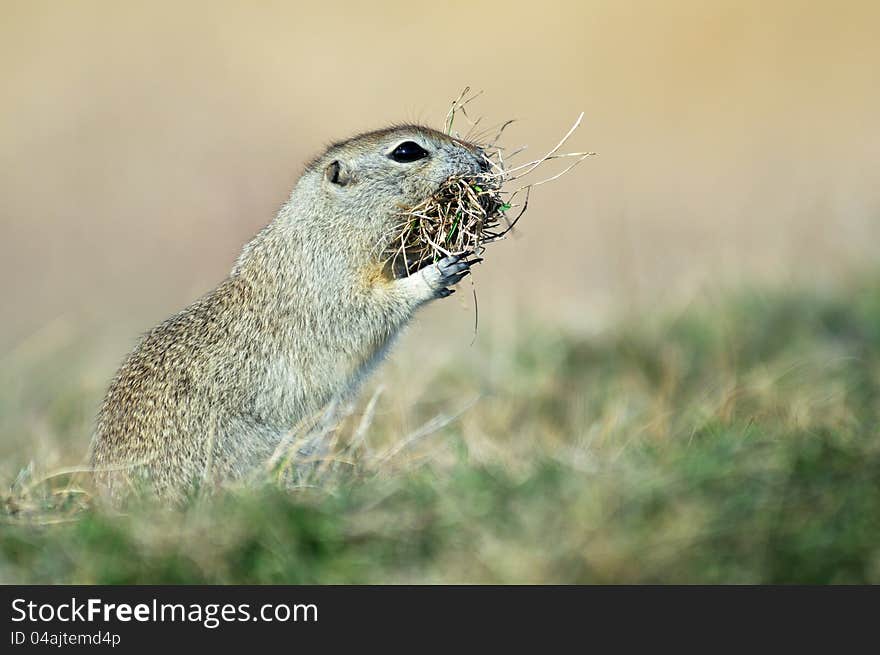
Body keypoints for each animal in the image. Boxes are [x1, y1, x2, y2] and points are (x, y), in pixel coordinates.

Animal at [89, 125, 488, 502]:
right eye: (407, 151)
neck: (329, 222)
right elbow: (366, 309)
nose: (482, 158)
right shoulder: (331, 281)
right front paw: (438, 272)